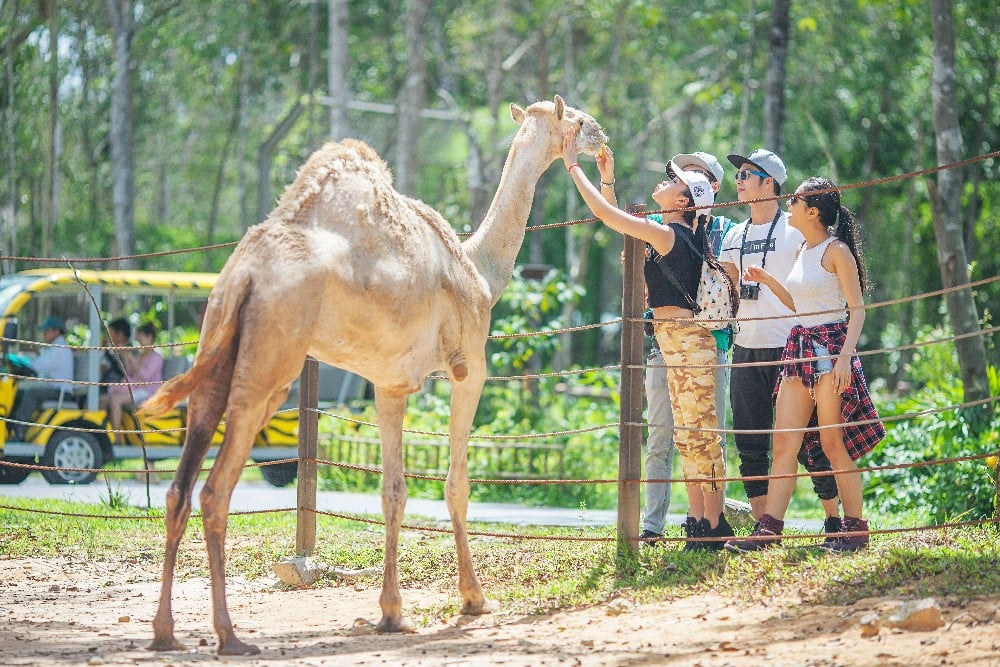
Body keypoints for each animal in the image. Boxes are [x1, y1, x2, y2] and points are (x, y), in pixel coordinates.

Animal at [139, 95, 608, 656]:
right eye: (576, 119)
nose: (602, 136)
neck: (479, 271)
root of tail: (244, 274)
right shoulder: (469, 368)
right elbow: (455, 484)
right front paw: (472, 599)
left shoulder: (389, 383)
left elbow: (392, 492)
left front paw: (390, 613)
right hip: (272, 359)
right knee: (215, 489)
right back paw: (230, 635)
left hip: (215, 342)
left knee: (179, 487)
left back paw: (165, 632)